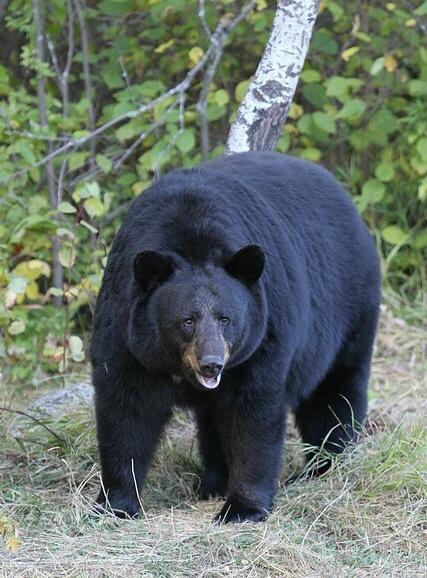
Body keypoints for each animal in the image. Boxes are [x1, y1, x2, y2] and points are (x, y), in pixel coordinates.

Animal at [91, 152, 382, 520]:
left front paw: (242, 508)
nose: (212, 364)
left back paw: (325, 466)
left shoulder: (264, 335)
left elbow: (253, 413)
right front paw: (116, 504)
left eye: (225, 319)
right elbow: (126, 409)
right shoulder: (125, 331)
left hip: (349, 310)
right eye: (187, 320)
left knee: (334, 393)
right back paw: (213, 482)